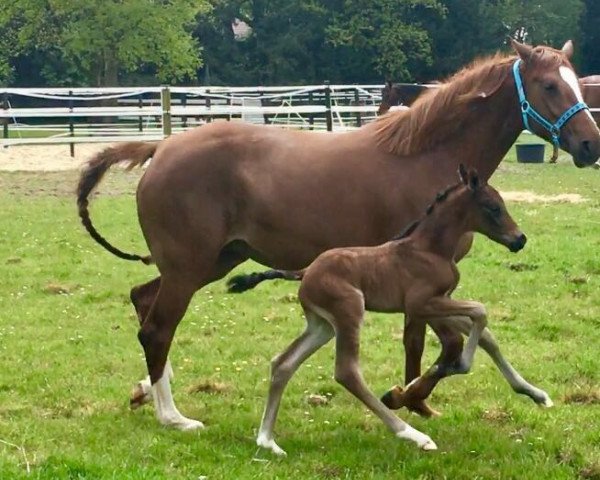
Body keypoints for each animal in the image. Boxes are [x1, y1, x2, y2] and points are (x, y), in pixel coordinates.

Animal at [258, 167, 524, 456]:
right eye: (494, 207)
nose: (520, 239)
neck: (430, 250)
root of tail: (305, 271)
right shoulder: (420, 304)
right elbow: (479, 310)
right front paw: (457, 366)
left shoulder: (437, 302)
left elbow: (477, 323)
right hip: (349, 311)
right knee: (346, 372)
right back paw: (414, 435)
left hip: (322, 326)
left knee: (284, 363)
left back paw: (267, 441)